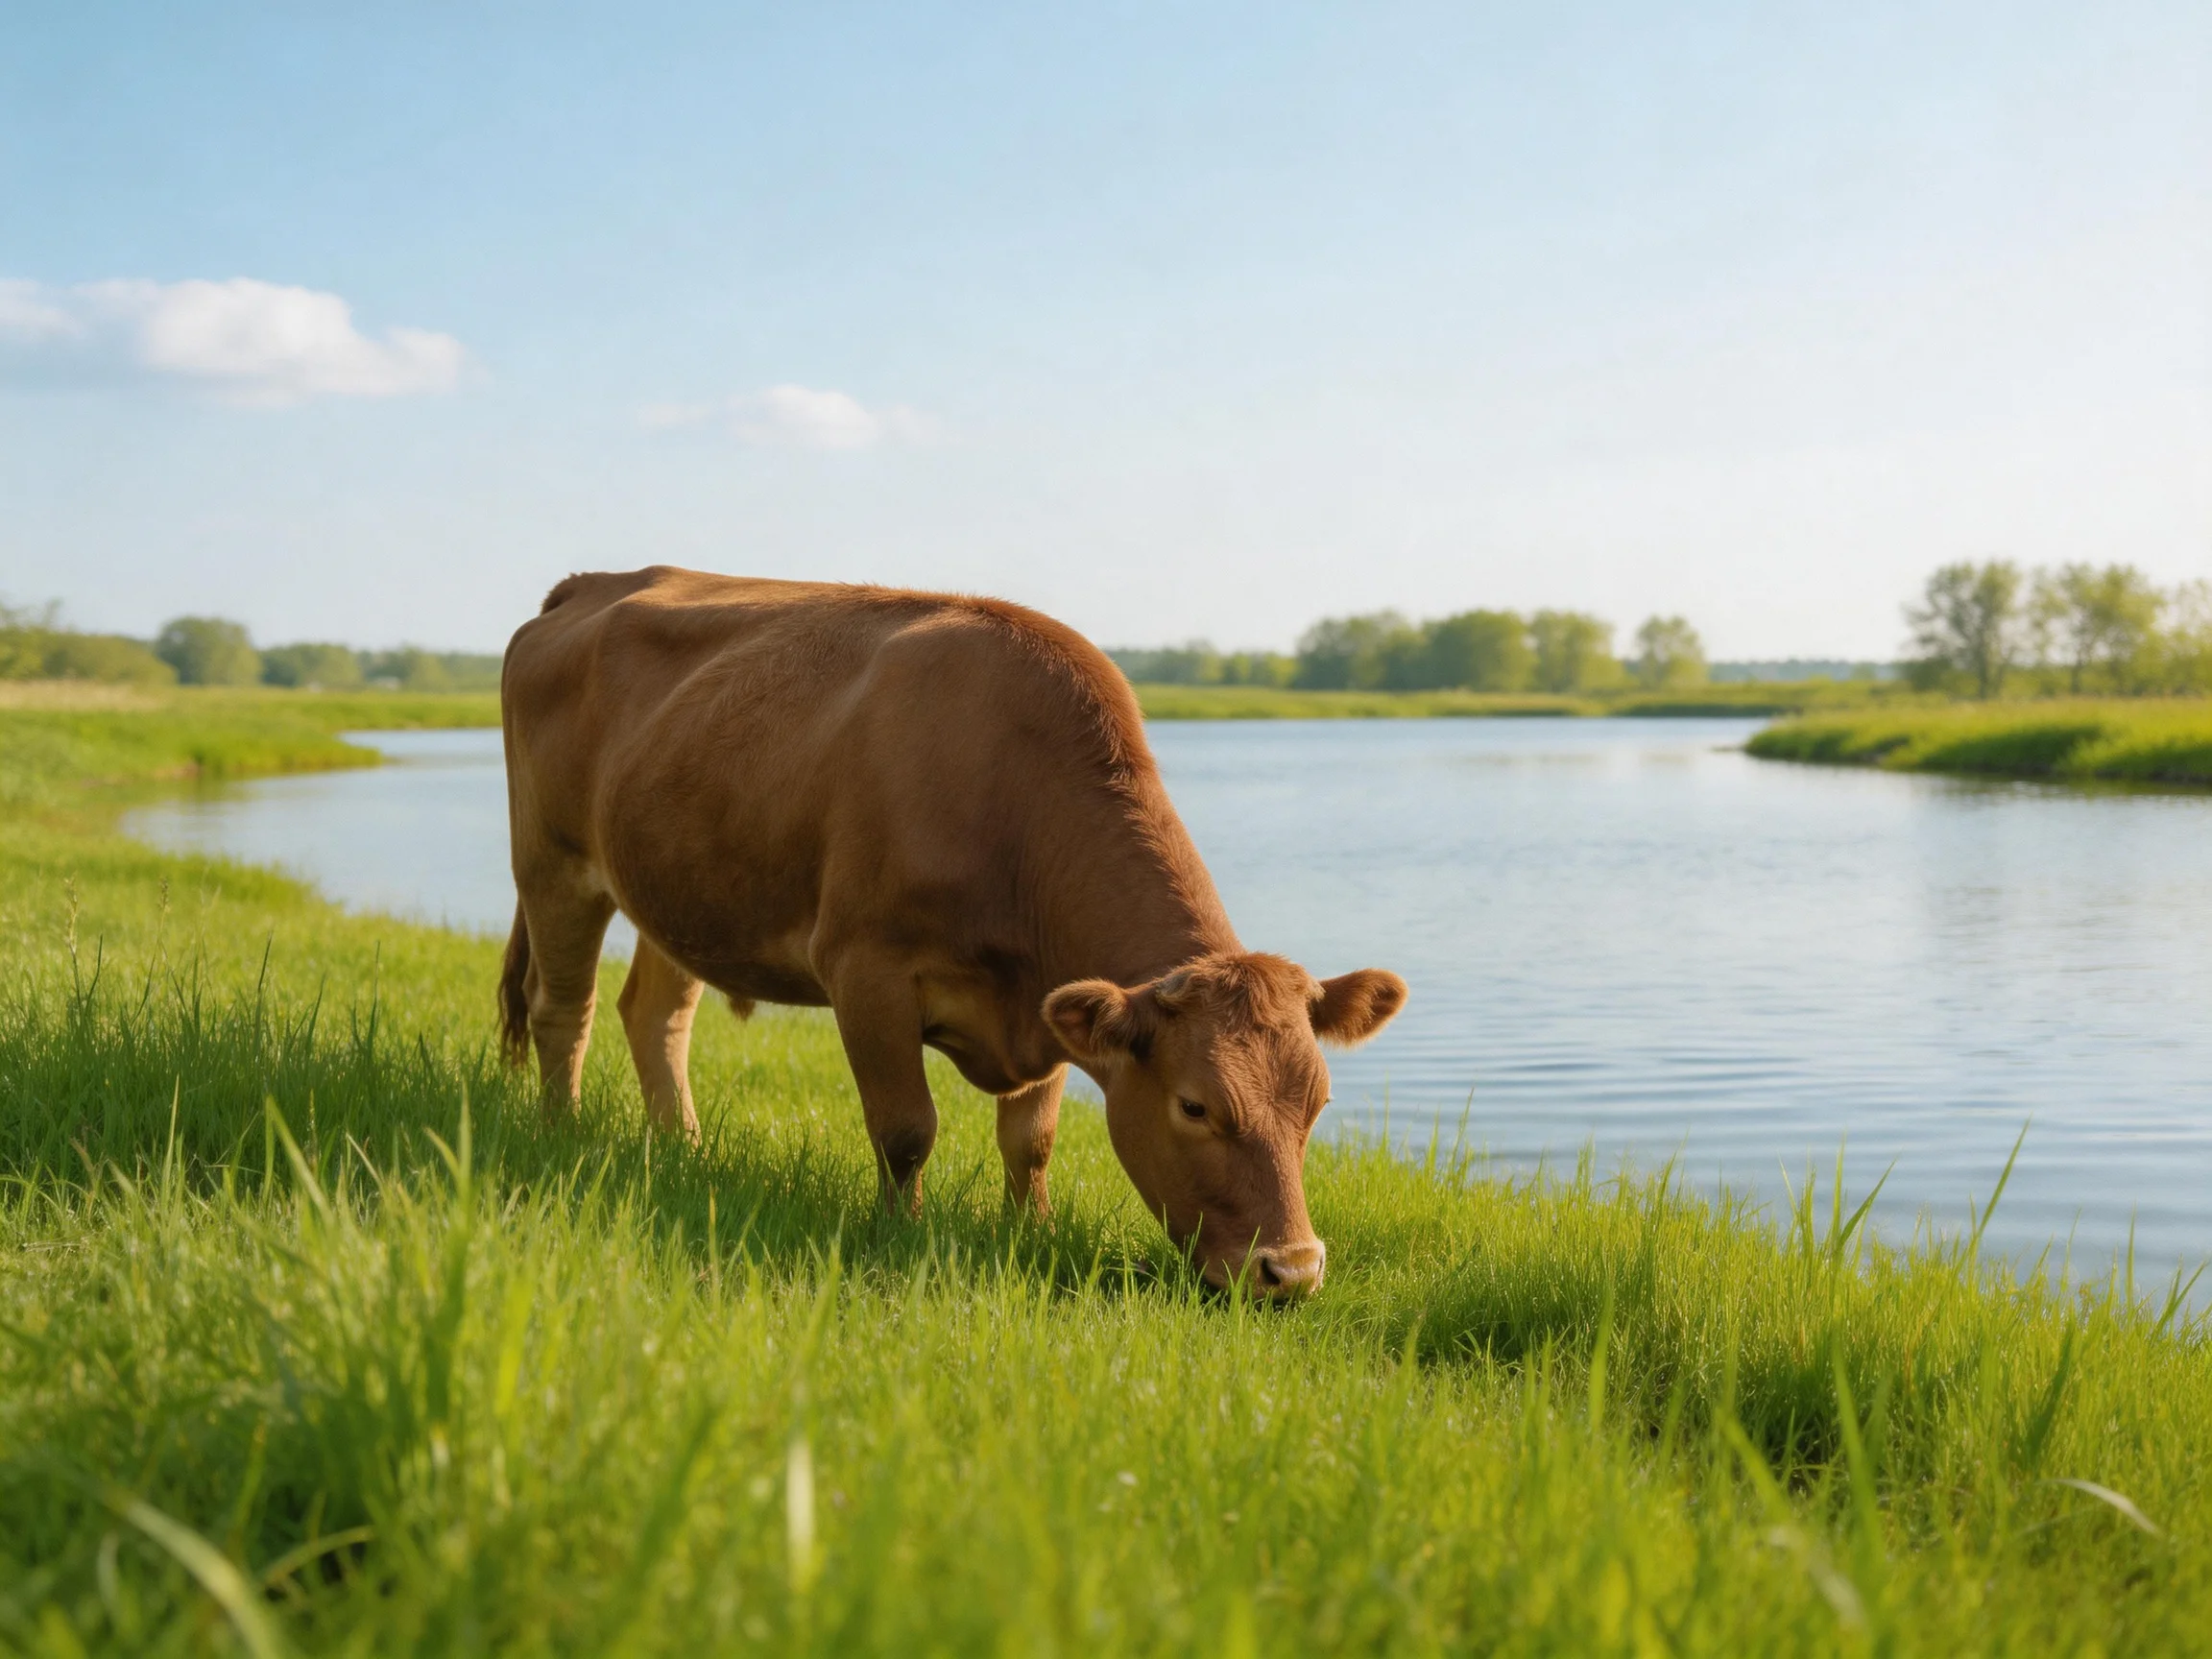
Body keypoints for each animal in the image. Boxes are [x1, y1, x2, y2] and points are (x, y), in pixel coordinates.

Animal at [497, 567, 1406, 1298]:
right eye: (1195, 1106)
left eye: (1320, 1103)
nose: (1292, 1272)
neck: (1010, 801)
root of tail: (594, 582)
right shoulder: (865, 969)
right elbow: (907, 1129)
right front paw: (900, 1234)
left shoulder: (1049, 1000)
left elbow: (1031, 1140)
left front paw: (1032, 1232)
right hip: (551, 863)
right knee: (560, 1008)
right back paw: (561, 1134)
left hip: (679, 891)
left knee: (655, 1015)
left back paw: (681, 1150)